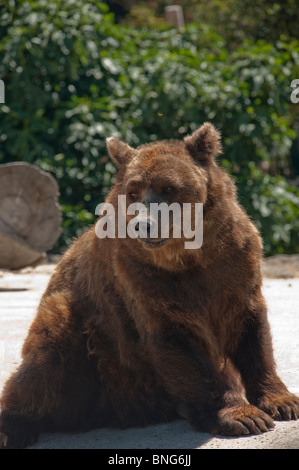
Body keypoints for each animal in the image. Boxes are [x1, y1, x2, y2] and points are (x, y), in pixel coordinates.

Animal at [0, 122, 299, 448]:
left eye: (168, 188)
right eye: (133, 191)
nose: (144, 223)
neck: (188, 256)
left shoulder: (234, 267)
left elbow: (251, 330)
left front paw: (282, 401)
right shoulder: (145, 282)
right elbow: (179, 341)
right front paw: (243, 416)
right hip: (81, 331)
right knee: (45, 357)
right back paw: (15, 427)